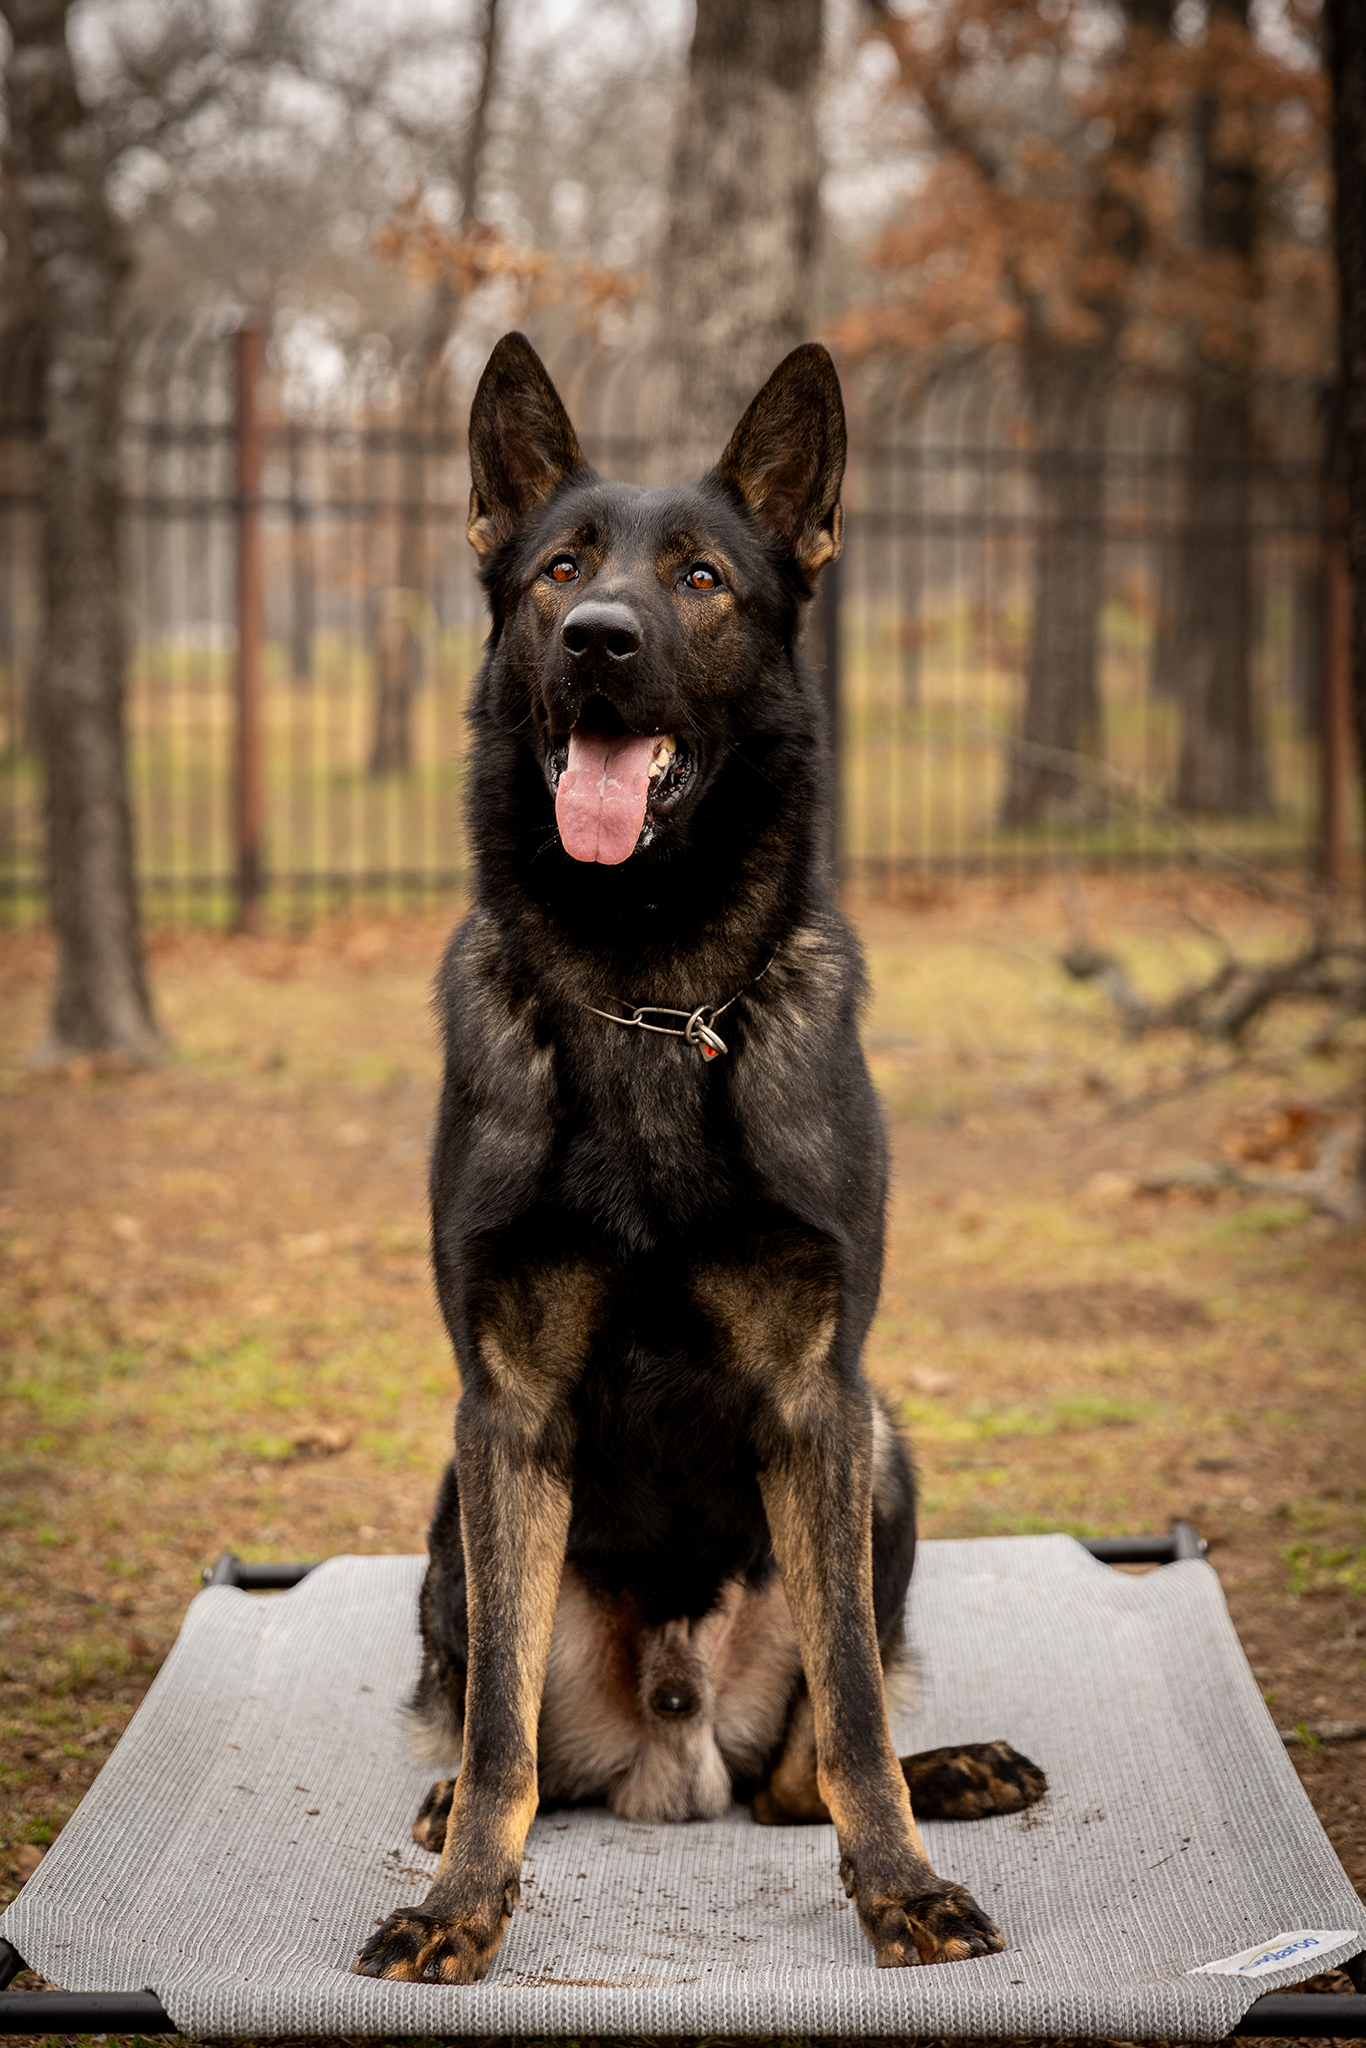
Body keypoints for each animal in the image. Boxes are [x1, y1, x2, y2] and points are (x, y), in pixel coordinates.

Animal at [356, 331, 1048, 1982]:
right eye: (558, 569)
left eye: (699, 577)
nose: (600, 639)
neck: (648, 987)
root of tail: (673, 1736)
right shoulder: (507, 1411)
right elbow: (498, 1740)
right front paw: (460, 1906)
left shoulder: (816, 1398)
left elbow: (854, 1709)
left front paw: (901, 1887)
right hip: (459, 1503)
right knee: (514, 1741)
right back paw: (450, 1815)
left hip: (879, 1451)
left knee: (803, 1771)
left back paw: (947, 1780)